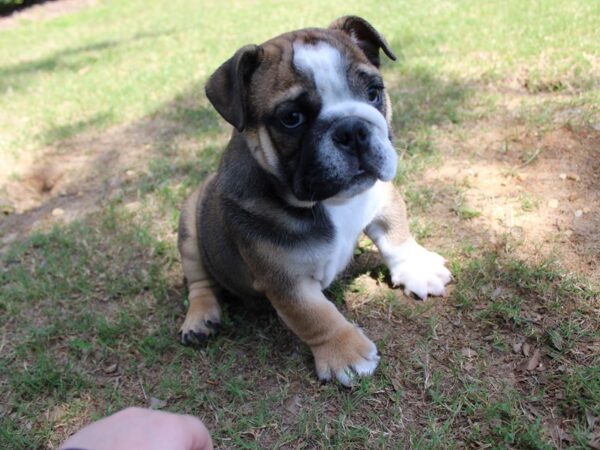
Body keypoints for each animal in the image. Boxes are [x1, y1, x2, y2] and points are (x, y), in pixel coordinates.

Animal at [177, 15, 450, 384]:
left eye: (374, 93)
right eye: (291, 118)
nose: (352, 129)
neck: (333, 203)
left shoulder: (382, 198)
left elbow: (398, 236)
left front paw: (417, 268)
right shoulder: (285, 279)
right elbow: (316, 316)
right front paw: (346, 354)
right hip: (189, 226)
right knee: (199, 281)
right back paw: (199, 320)